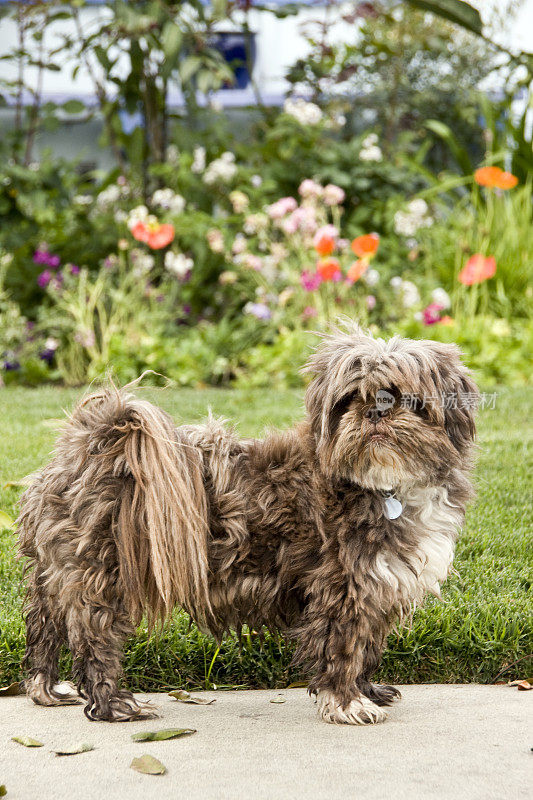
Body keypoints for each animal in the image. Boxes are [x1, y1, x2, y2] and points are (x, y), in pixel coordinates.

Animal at [17, 324, 478, 724]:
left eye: (402, 397)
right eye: (349, 399)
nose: (375, 412)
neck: (386, 486)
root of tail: (92, 444)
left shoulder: (378, 585)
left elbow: (366, 645)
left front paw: (367, 691)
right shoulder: (343, 587)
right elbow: (344, 648)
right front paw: (347, 702)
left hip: (54, 573)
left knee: (44, 628)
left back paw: (45, 688)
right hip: (99, 576)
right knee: (94, 640)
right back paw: (111, 703)